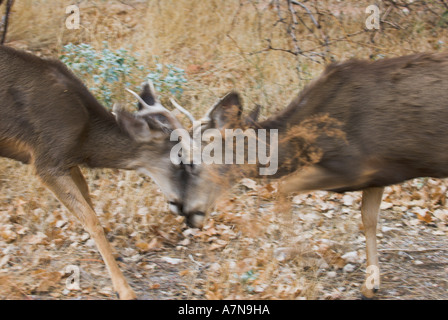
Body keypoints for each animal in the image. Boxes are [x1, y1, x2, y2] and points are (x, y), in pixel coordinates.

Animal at [0, 45, 189, 300]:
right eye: (179, 158)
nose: (184, 203)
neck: (86, 139)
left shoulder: (69, 161)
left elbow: (90, 204)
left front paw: (115, 255)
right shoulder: (46, 161)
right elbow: (91, 220)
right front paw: (124, 288)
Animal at [173, 51, 448, 298]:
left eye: (191, 163)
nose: (186, 211)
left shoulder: (353, 167)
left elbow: (283, 189)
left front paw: (300, 258)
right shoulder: (379, 173)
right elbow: (369, 219)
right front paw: (371, 285)